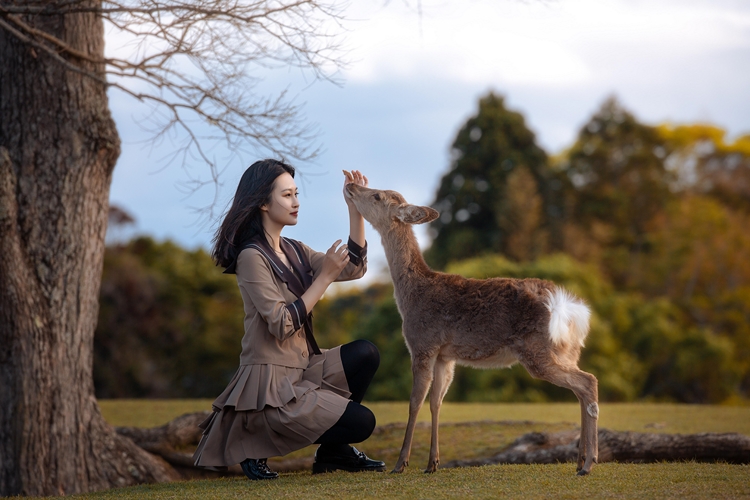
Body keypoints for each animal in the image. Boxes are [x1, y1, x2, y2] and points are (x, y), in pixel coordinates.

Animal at [344, 177, 604, 476]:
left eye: (376, 196)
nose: (351, 185)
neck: (410, 296)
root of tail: (570, 310)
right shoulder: (445, 356)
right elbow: (436, 402)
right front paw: (432, 463)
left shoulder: (422, 344)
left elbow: (414, 402)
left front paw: (401, 464)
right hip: (567, 351)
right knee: (580, 389)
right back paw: (580, 460)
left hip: (538, 350)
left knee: (588, 382)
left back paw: (589, 463)